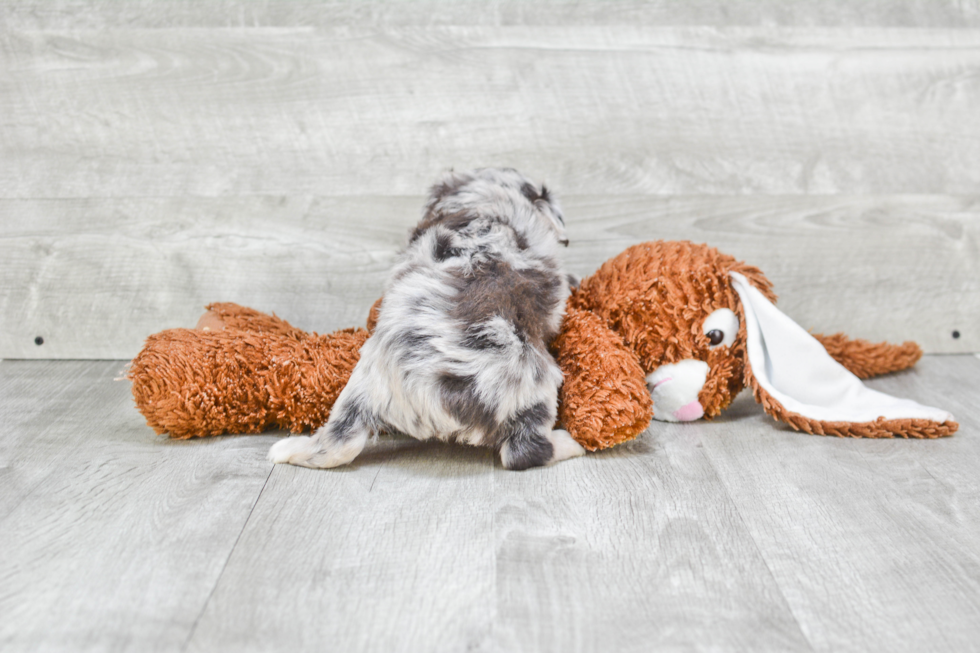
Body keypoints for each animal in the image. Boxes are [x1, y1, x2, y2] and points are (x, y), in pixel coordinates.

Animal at [270, 168, 580, 468]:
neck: (483, 204)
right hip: (534, 386)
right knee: (524, 451)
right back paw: (568, 444)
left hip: (352, 397)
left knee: (336, 446)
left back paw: (286, 449)